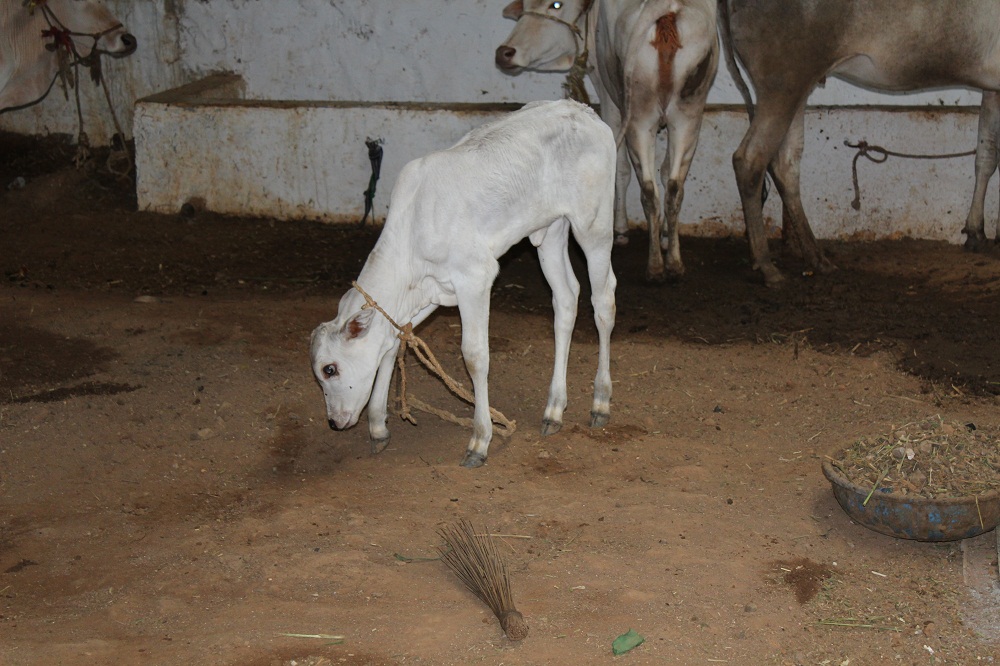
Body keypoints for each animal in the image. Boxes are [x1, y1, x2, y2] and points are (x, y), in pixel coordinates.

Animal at [308, 101, 616, 470]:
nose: (333, 422)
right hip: (551, 230)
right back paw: (554, 409)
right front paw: (379, 426)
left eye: (329, 369)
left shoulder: (476, 276)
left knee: (603, 301)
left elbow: (474, 356)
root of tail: (582, 110)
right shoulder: (431, 291)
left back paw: (600, 401)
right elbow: (394, 343)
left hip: (594, 224)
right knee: (566, 299)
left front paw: (480, 440)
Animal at [494, 0, 716, 282]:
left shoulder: (609, 97)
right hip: (688, 114)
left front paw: (621, 230)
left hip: (640, 117)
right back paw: (673, 263)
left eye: (556, 4)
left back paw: (655, 266)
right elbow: (666, 171)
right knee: (673, 186)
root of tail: (666, 8)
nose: (504, 53)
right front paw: (666, 235)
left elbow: (621, 169)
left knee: (647, 188)